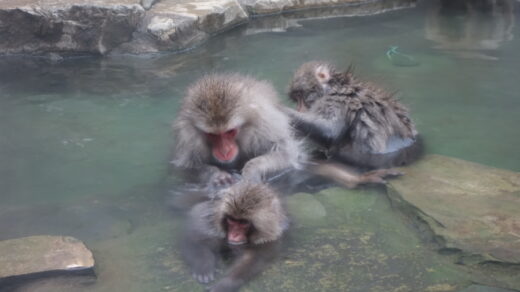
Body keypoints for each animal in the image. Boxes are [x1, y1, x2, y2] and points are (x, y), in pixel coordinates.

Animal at [173, 72, 306, 187]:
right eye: (212, 135)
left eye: (230, 132)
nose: (225, 151)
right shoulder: (189, 140)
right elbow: (189, 167)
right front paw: (217, 175)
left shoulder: (265, 125)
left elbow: (285, 153)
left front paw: (251, 170)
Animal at [286, 61, 424, 169]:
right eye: (296, 99)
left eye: (300, 95)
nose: (299, 108)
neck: (335, 86)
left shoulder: (336, 101)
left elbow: (329, 131)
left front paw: (285, 111)